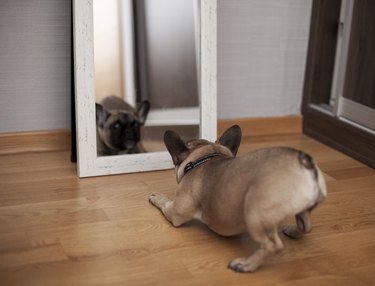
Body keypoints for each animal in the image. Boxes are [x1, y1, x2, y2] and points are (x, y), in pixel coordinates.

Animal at [149, 125, 326, 272]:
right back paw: (292, 231)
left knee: (272, 245)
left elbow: (164, 202)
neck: (206, 157)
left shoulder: (175, 212)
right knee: (306, 226)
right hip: (302, 209)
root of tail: (304, 164)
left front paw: (156, 196)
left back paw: (246, 264)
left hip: (254, 212)